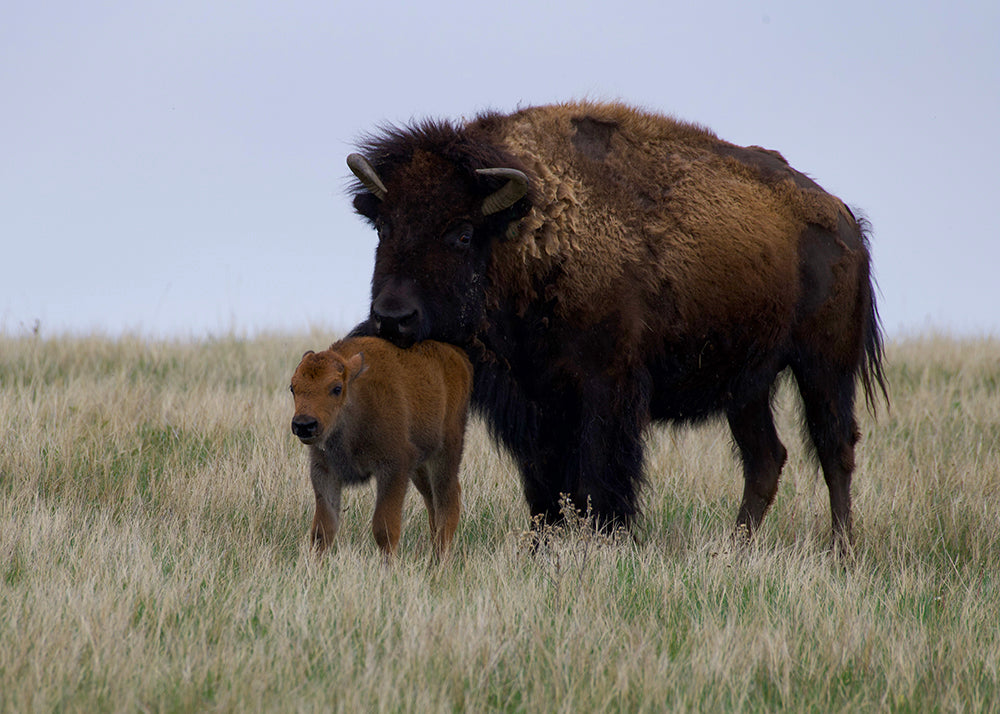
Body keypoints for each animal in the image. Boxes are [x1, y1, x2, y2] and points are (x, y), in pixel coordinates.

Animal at [290, 334, 472, 556]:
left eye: (336, 388)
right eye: (292, 388)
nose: (304, 424)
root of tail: (458, 357)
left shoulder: (393, 468)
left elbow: (384, 528)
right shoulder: (324, 471)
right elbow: (323, 529)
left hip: (446, 453)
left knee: (447, 501)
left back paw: (438, 559)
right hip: (420, 466)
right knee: (432, 503)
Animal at [348, 100, 888, 548]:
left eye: (462, 233)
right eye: (384, 226)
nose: (393, 317)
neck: (531, 231)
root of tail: (843, 218)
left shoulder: (605, 391)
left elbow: (598, 480)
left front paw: (608, 542)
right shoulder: (534, 402)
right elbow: (544, 489)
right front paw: (543, 548)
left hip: (824, 365)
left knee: (835, 449)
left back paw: (841, 551)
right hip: (748, 384)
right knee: (765, 459)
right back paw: (735, 551)